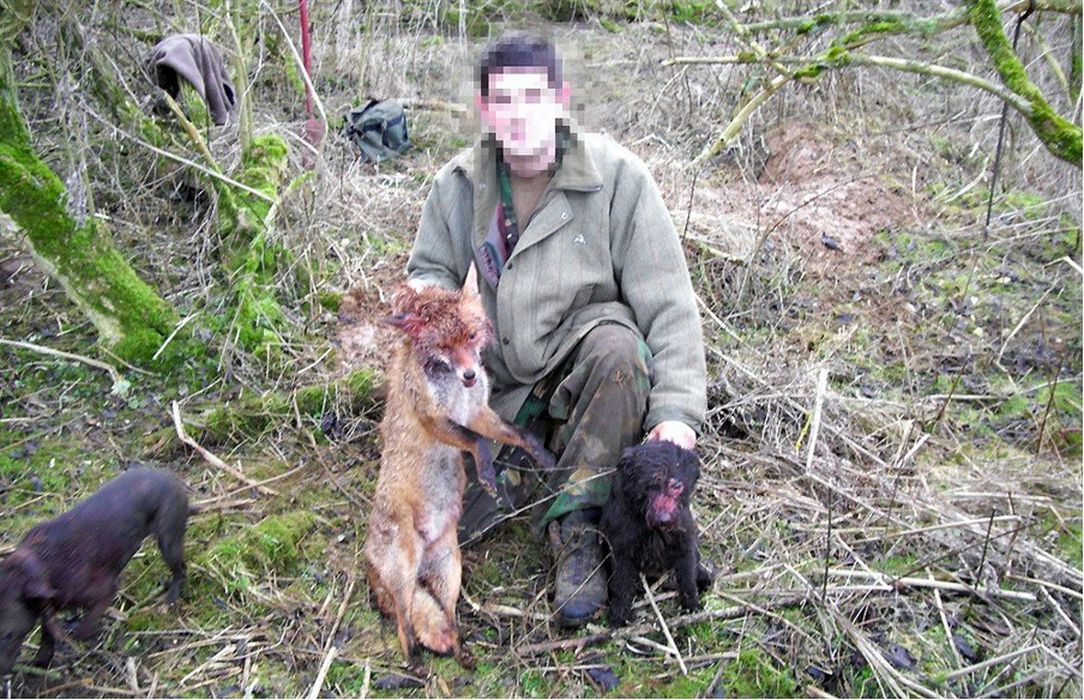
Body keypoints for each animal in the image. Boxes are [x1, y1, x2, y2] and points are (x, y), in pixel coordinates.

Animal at [0, 468, 188, 676]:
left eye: (8, 634)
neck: (42, 564)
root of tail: (171, 478)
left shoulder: (105, 591)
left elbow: (82, 629)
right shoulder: (46, 606)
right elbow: (47, 636)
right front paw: (41, 662)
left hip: (168, 541)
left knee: (181, 570)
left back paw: (169, 600)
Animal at [366, 277, 555, 667]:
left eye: (470, 336)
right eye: (443, 346)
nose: (469, 373)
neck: (455, 388)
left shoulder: (477, 412)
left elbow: (519, 434)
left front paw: (543, 456)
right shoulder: (434, 418)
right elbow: (476, 443)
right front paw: (486, 473)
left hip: (449, 572)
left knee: (449, 617)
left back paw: (462, 655)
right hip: (403, 568)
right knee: (404, 618)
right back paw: (413, 661)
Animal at [598, 442, 706, 628]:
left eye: (677, 486)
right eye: (650, 485)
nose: (664, 519)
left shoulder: (685, 544)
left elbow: (688, 578)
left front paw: (692, 608)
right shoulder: (620, 551)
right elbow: (621, 585)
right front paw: (619, 616)